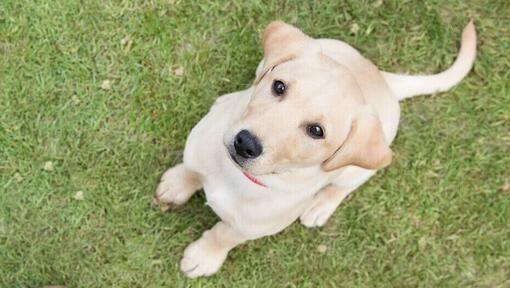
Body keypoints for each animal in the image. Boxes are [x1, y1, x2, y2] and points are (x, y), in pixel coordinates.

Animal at [153, 19, 476, 276]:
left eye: (316, 131)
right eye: (279, 86)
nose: (245, 143)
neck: (237, 177)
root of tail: (383, 79)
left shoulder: (249, 227)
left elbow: (223, 235)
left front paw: (204, 257)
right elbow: (192, 169)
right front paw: (177, 184)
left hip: (356, 169)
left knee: (343, 186)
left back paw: (320, 206)